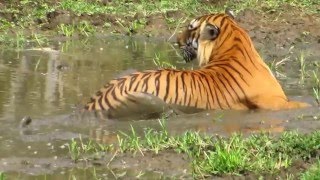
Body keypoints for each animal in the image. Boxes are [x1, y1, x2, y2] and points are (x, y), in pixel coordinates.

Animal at [84, 9, 308, 118]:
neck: (232, 47)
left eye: (191, 28)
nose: (176, 40)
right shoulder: (275, 102)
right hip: (145, 99)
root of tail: (92, 104)